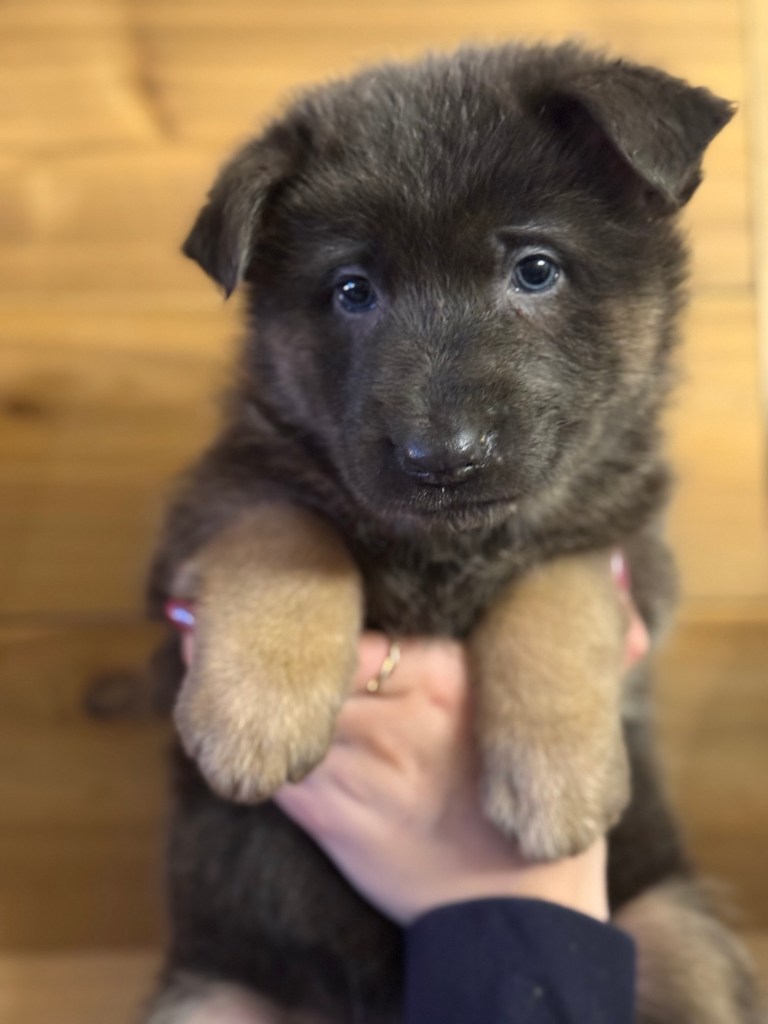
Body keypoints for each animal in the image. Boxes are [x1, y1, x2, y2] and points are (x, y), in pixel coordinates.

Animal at [142, 42, 762, 1023]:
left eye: (536, 269)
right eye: (352, 290)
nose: (445, 458)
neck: (450, 549)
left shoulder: (631, 549)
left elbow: (560, 581)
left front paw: (556, 774)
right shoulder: (214, 503)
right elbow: (288, 528)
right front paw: (256, 710)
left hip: (675, 932)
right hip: (211, 997)